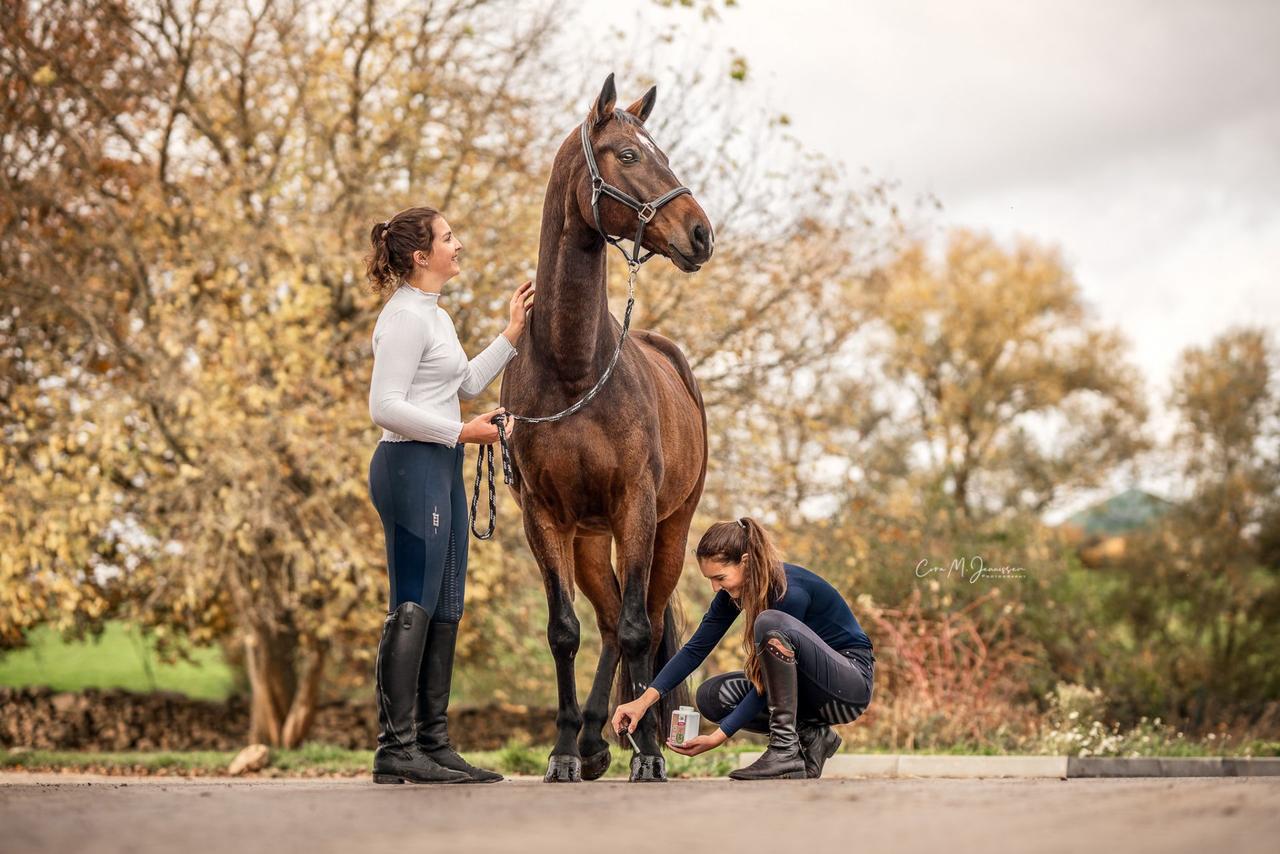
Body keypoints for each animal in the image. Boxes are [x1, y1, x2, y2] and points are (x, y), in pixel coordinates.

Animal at [499, 76, 716, 783]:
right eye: (627, 154)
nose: (701, 234)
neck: (574, 369)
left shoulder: (637, 508)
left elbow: (637, 629)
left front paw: (646, 751)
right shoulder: (543, 516)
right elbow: (564, 630)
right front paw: (565, 749)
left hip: (669, 529)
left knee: (639, 617)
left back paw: (637, 736)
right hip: (592, 539)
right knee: (603, 621)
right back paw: (595, 737)